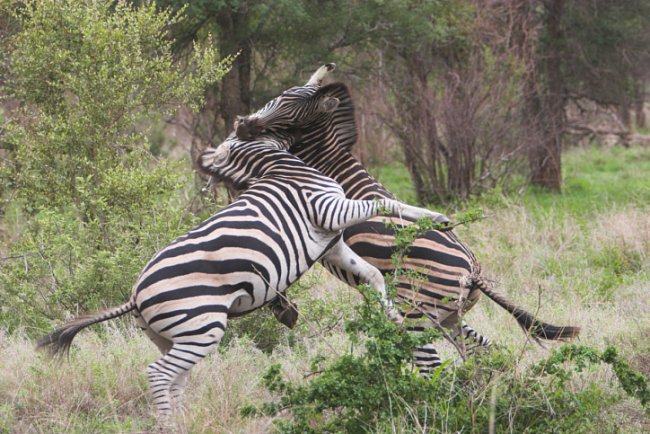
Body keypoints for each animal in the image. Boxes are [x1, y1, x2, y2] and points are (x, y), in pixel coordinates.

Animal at [36, 128, 450, 424]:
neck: (282, 168)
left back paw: (183, 423)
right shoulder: (329, 210)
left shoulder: (331, 242)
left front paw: (393, 315)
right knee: (158, 374)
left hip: (170, 336)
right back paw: (169, 425)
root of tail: (134, 294)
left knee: (174, 379)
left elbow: (373, 275)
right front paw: (435, 217)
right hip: (201, 326)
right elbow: (382, 202)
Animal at [235, 63, 580, 376]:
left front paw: (280, 306)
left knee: (433, 367)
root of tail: (472, 271)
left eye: (286, 105)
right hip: (448, 317)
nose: (241, 126)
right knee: (485, 354)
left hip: (416, 315)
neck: (325, 159)